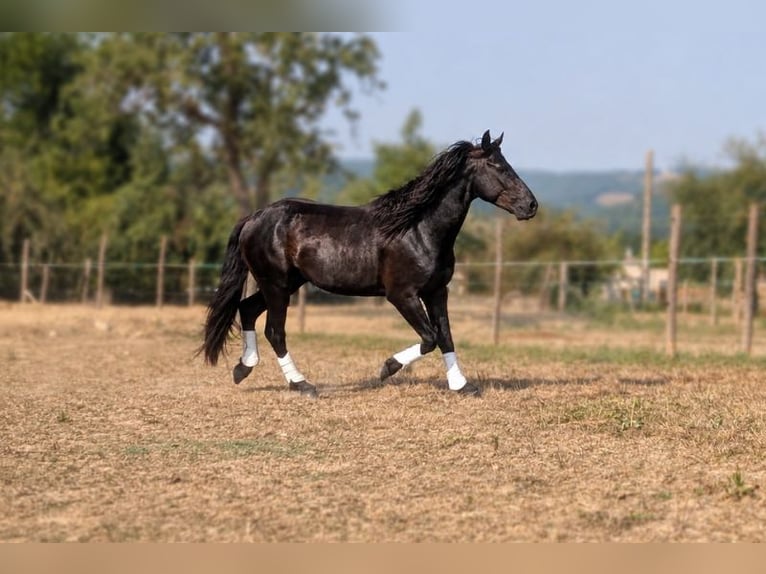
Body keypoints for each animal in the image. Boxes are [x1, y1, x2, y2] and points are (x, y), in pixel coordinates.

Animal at [200, 130, 537, 397]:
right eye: (498, 166)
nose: (531, 205)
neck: (418, 229)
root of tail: (254, 217)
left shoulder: (437, 291)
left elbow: (445, 335)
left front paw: (462, 386)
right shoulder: (402, 295)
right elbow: (429, 337)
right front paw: (387, 368)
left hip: (285, 283)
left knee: (247, 309)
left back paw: (243, 369)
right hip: (277, 285)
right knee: (274, 331)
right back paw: (302, 385)